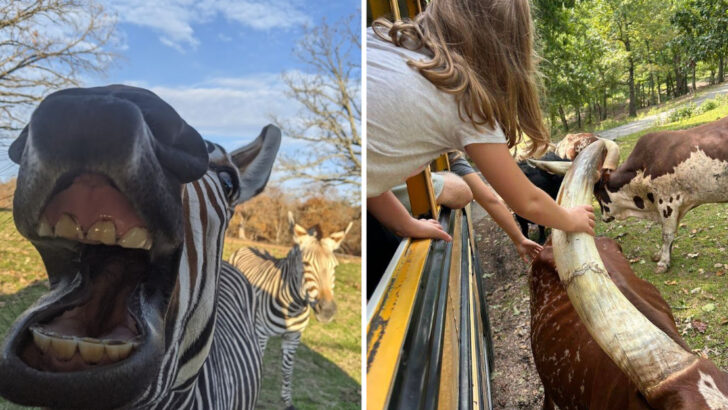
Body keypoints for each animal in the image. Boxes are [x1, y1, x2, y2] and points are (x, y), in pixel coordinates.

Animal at [229, 213, 353, 409]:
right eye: (306, 264)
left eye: (335, 266)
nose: (327, 310)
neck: (292, 307)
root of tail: (247, 246)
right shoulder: (261, 334)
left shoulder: (293, 337)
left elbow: (287, 370)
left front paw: (287, 401)